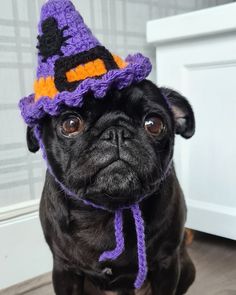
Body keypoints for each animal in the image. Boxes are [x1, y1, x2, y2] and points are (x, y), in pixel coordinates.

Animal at [26, 80, 195, 294]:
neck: (107, 211)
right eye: (71, 124)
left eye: (154, 124)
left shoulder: (167, 265)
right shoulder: (64, 269)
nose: (116, 132)